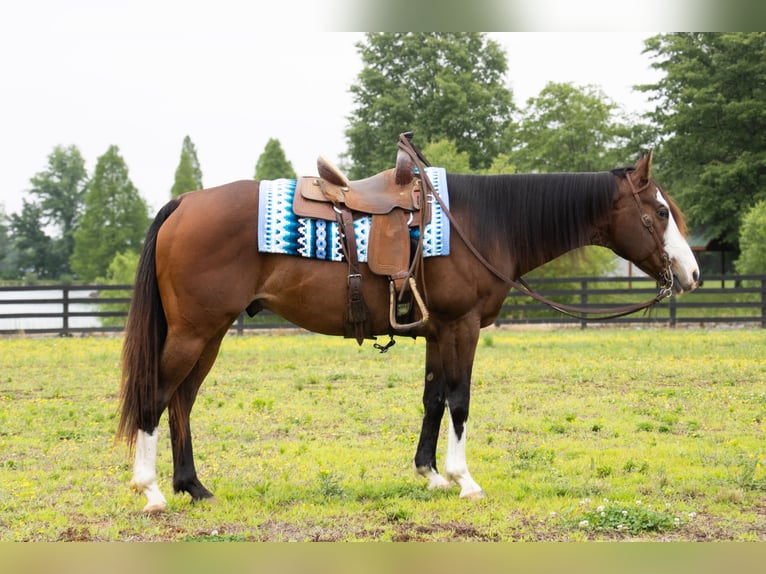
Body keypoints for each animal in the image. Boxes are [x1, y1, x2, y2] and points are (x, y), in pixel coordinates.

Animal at [117, 150, 700, 513]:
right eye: (660, 211)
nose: (692, 274)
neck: (483, 222)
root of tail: (185, 202)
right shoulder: (462, 327)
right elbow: (460, 399)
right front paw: (465, 481)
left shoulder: (439, 332)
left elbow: (433, 399)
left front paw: (431, 473)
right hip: (194, 332)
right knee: (158, 394)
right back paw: (152, 491)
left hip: (210, 335)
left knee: (182, 400)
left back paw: (194, 487)